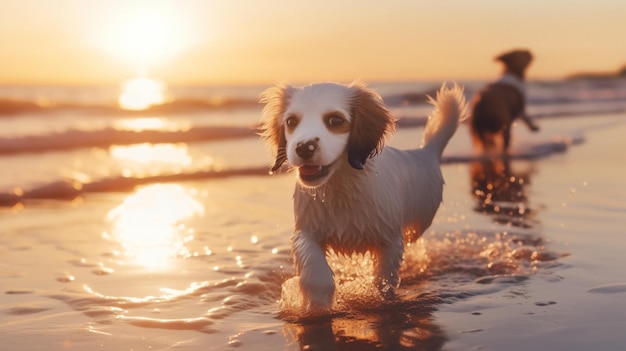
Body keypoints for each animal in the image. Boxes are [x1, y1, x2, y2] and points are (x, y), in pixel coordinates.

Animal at [258, 82, 464, 310]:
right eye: (291, 121)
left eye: (335, 120)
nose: (304, 147)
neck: (340, 187)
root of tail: (426, 152)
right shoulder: (306, 233)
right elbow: (316, 273)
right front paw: (317, 305)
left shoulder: (390, 240)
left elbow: (384, 278)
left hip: (418, 225)